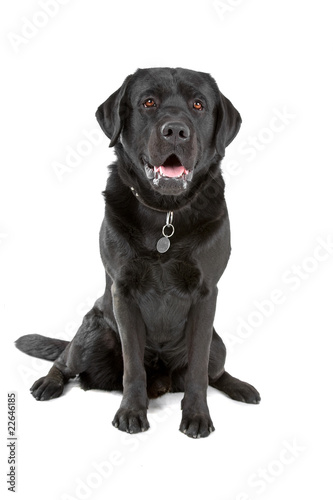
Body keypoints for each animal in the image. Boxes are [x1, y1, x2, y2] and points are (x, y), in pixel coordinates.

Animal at [16, 67, 260, 438]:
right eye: (148, 102)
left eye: (198, 104)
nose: (175, 130)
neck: (166, 214)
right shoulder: (124, 293)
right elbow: (133, 366)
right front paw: (131, 411)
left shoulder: (206, 294)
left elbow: (198, 370)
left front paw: (197, 415)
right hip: (92, 332)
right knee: (65, 359)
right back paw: (49, 382)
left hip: (219, 344)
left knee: (215, 371)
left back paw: (240, 387)